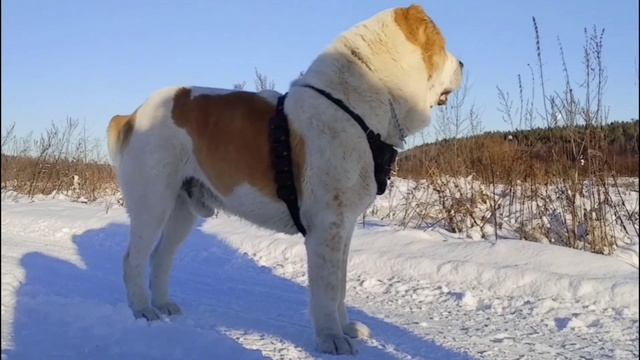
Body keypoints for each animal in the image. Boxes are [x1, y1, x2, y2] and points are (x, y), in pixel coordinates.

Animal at [107, 4, 462, 354]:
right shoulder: (327, 225)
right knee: (133, 259)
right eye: (444, 46)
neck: (357, 107)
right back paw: (143, 311)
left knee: (161, 257)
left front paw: (346, 327)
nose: (462, 64)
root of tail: (132, 115)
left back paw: (163, 305)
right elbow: (328, 288)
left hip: (183, 210)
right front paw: (331, 339)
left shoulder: (343, 226)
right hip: (152, 204)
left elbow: (341, 283)